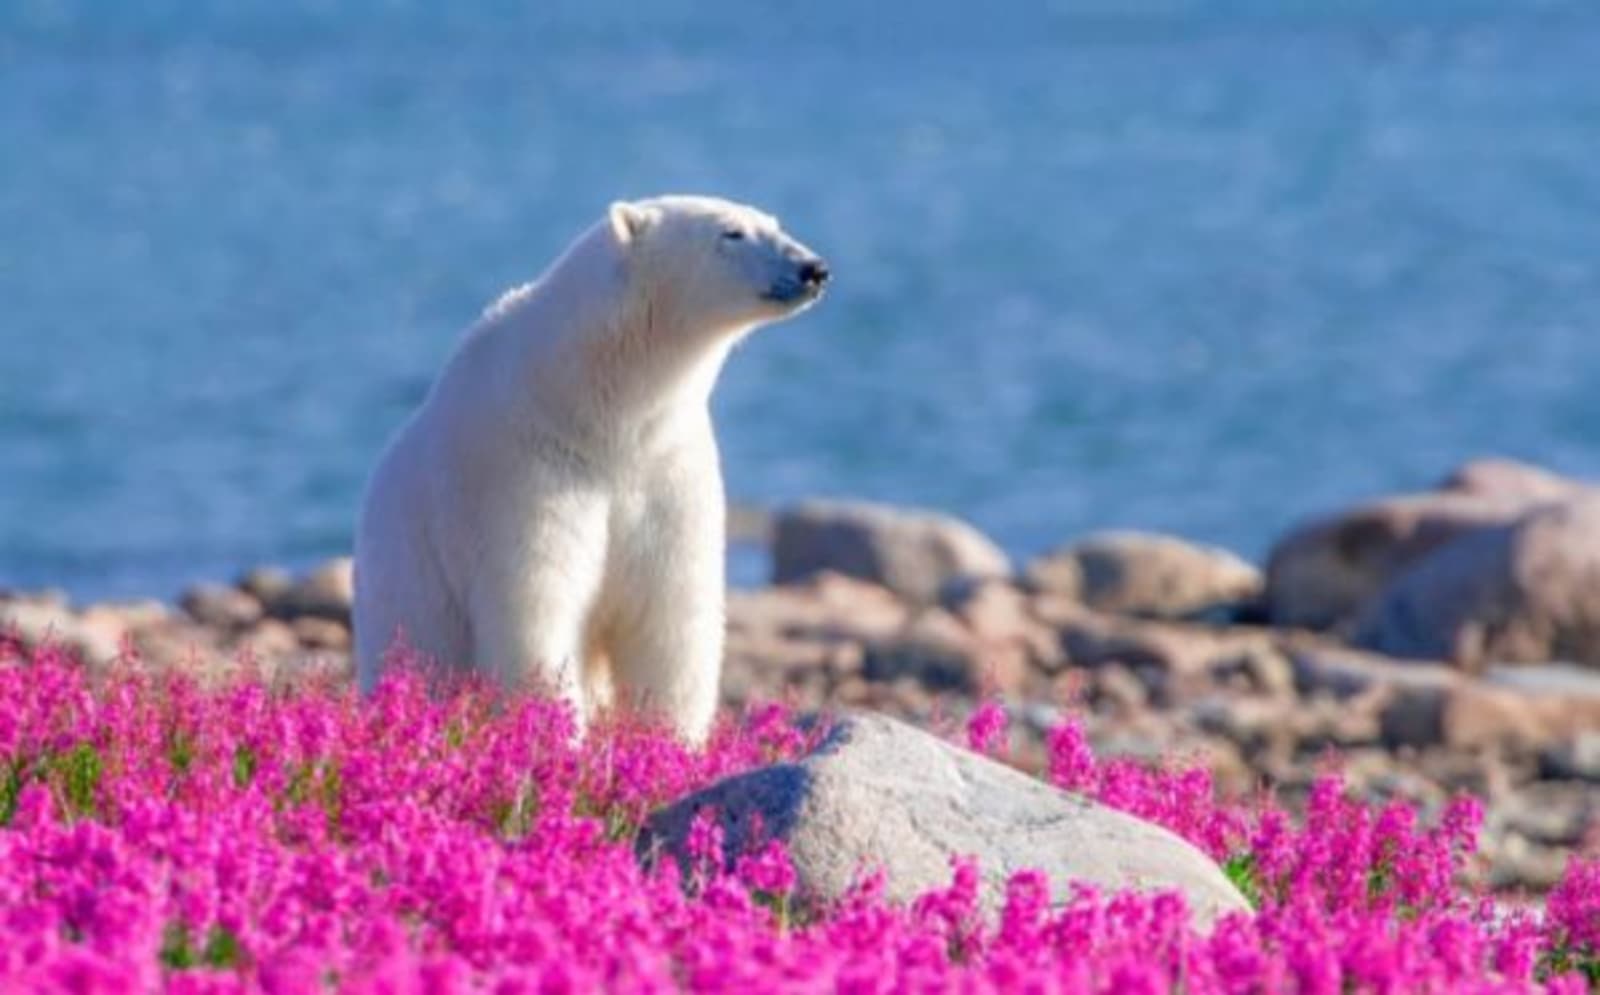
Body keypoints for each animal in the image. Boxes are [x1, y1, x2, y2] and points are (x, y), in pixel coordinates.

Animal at [353, 195, 829, 743]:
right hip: (408, 579)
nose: (813, 268)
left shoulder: (664, 467)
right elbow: (536, 607)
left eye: (773, 222)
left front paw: (670, 741)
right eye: (731, 232)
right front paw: (556, 738)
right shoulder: (525, 467)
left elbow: (670, 615)